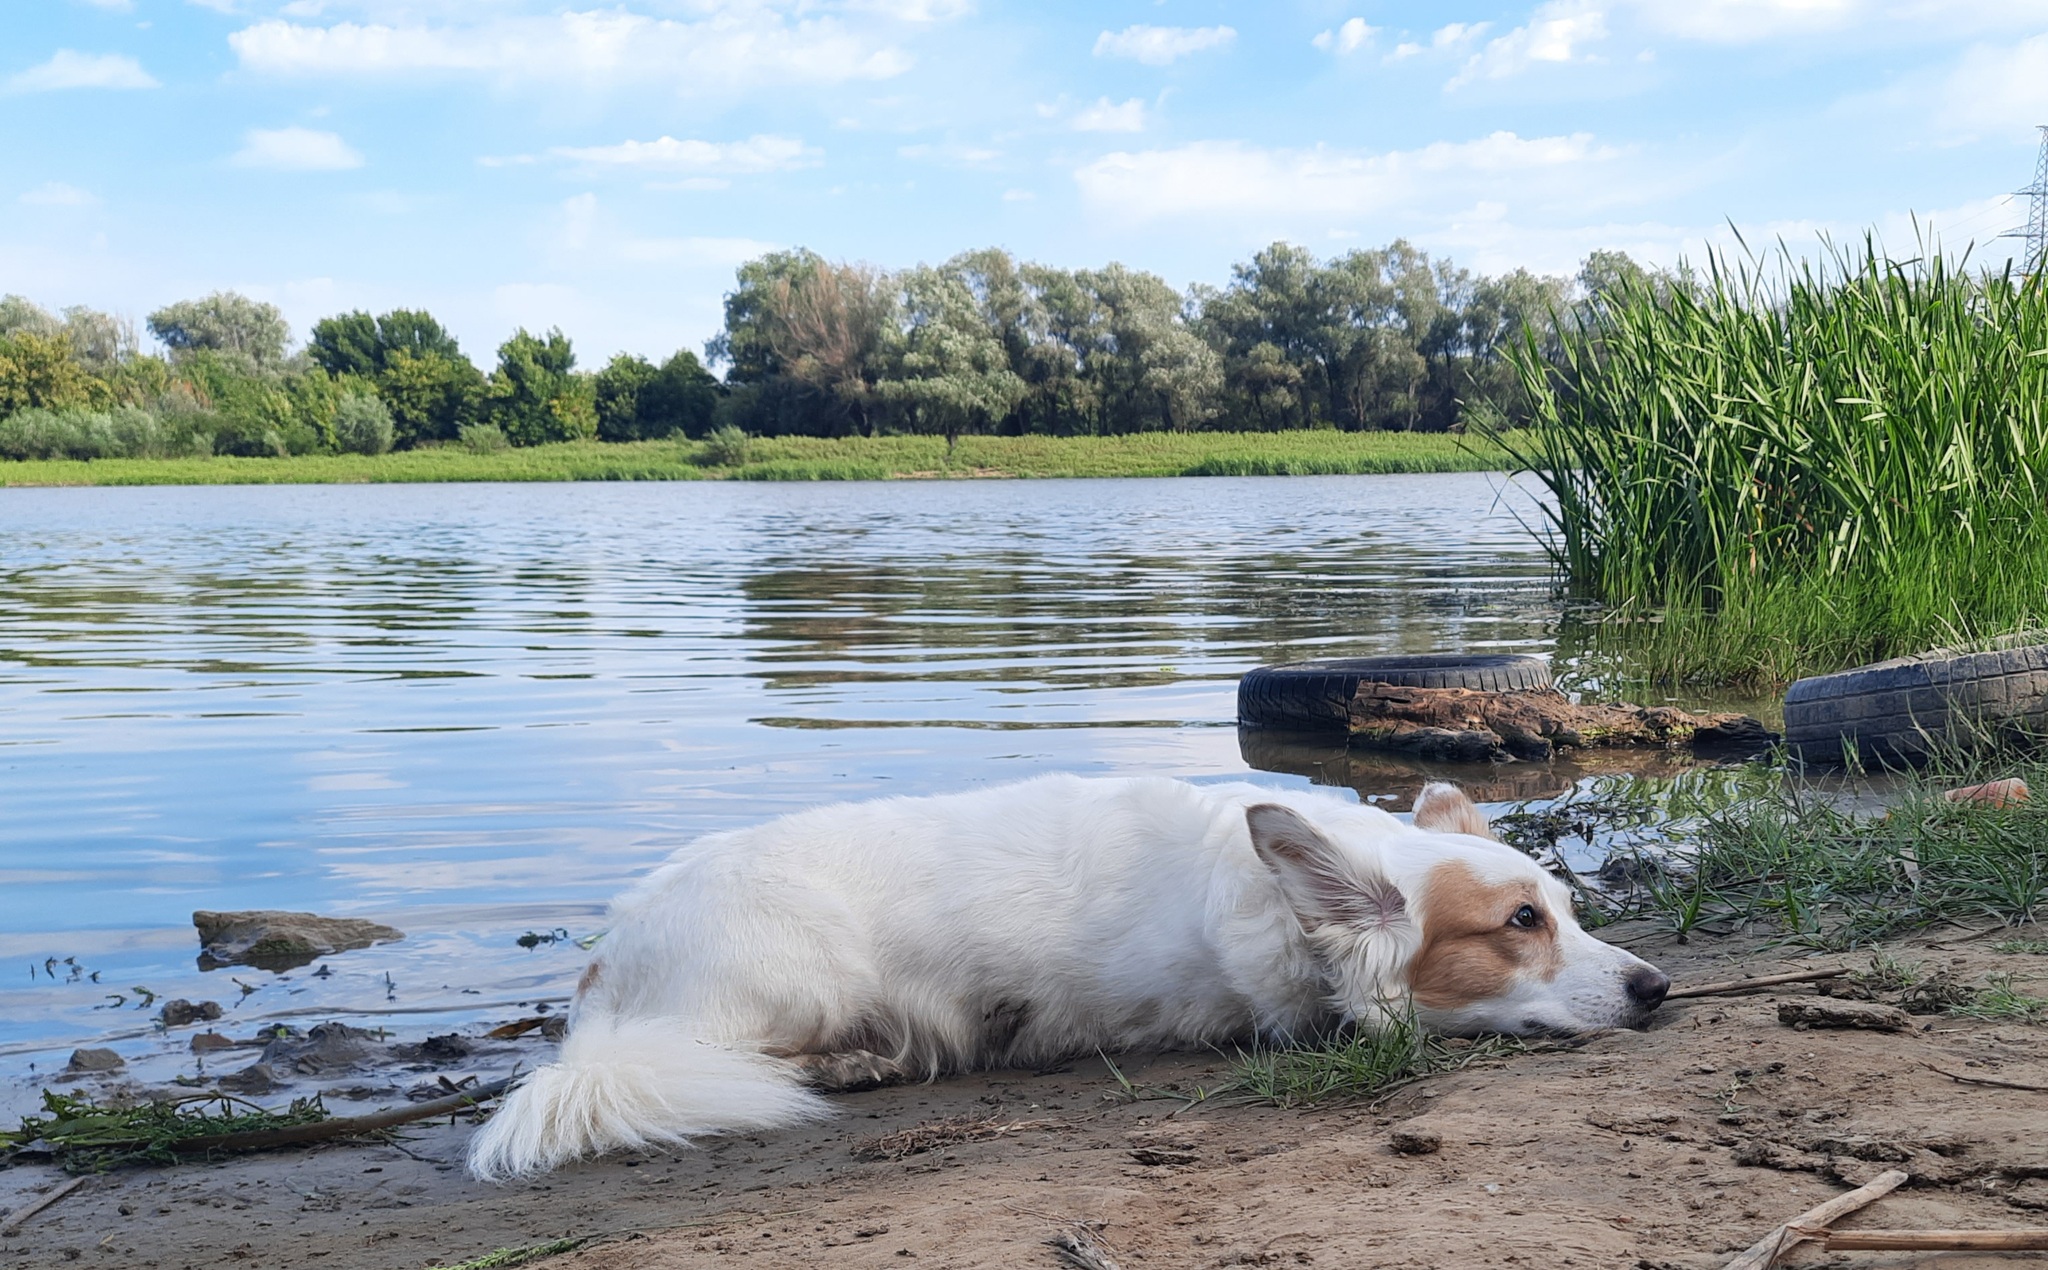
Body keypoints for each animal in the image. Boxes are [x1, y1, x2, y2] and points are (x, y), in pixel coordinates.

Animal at [471, 774, 1671, 1179]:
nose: (1657, 988)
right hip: (792, 976)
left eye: (1569, 908)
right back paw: (857, 1062)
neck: (1266, 900)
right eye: (1519, 923)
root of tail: (605, 970)